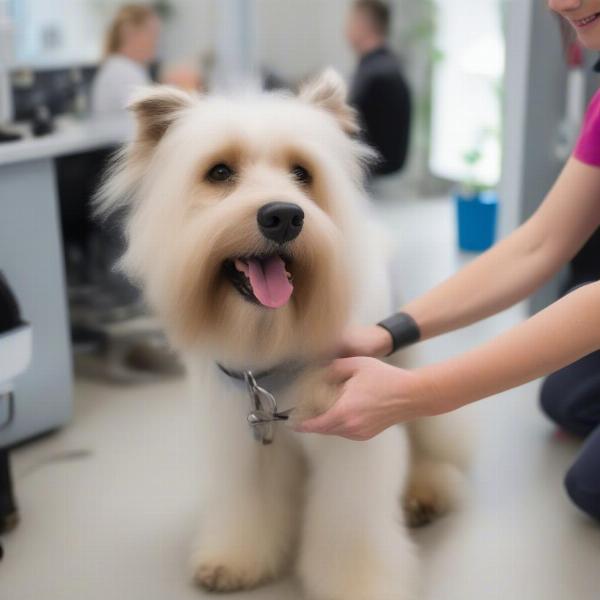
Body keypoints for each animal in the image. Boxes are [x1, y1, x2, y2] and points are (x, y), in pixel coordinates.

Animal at [98, 71, 472, 600]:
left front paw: (357, 584)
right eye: (218, 172)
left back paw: (425, 492)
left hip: (409, 383)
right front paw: (235, 559)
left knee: (432, 446)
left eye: (302, 172)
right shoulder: (244, 436)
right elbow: (248, 504)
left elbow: (351, 523)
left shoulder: (355, 433)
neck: (269, 343)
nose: (284, 216)